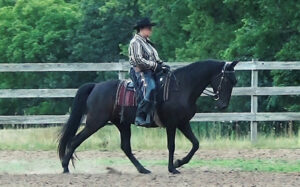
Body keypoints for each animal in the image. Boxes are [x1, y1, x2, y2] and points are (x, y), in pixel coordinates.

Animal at [58, 59, 239, 174]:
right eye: (227, 80)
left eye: (234, 81)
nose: (223, 105)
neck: (181, 87)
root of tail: (96, 87)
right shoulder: (172, 124)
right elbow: (171, 145)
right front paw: (172, 168)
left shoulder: (183, 122)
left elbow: (195, 144)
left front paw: (178, 162)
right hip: (95, 122)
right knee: (74, 141)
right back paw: (65, 167)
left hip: (122, 124)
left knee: (126, 147)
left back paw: (143, 169)